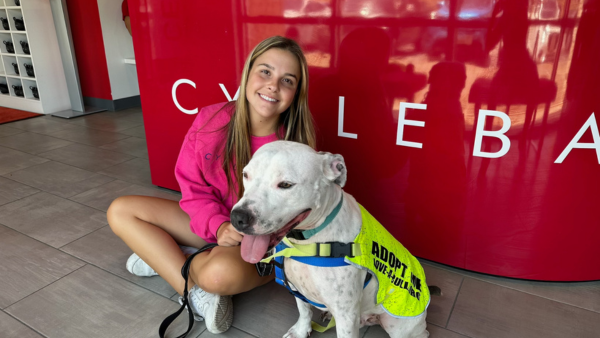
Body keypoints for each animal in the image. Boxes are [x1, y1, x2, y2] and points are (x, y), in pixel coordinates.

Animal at [232, 141, 438, 338]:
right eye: (246, 174)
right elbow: (303, 310)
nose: (238, 218)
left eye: (286, 185)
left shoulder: (346, 314)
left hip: (400, 323)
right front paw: (301, 331)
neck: (307, 241)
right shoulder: (297, 288)